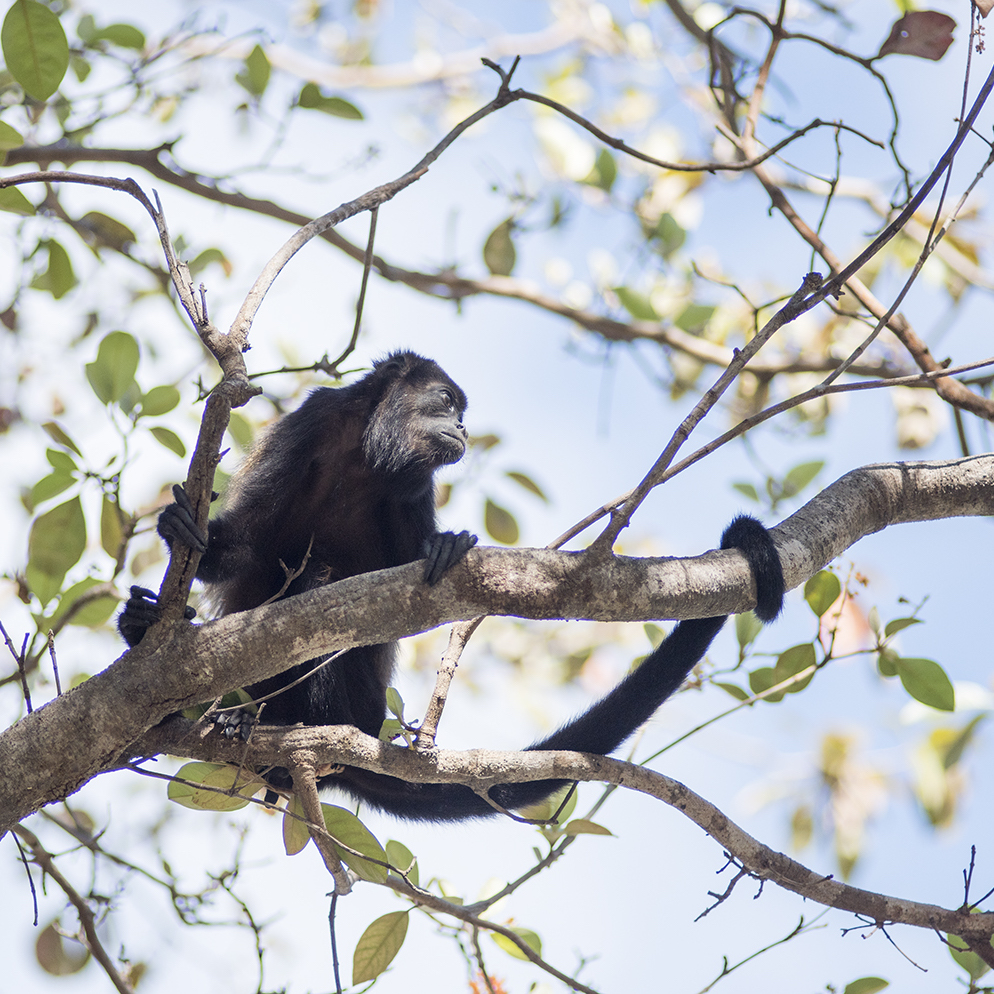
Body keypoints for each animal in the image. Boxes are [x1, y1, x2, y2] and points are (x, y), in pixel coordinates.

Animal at [118, 352, 784, 816]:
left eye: (463, 413)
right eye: (446, 402)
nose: (462, 428)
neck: (368, 458)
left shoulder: (414, 487)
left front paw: (444, 547)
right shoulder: (310, 424)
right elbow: (245, 540)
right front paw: (186, 532)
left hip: (355, 707)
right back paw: (164, 645)